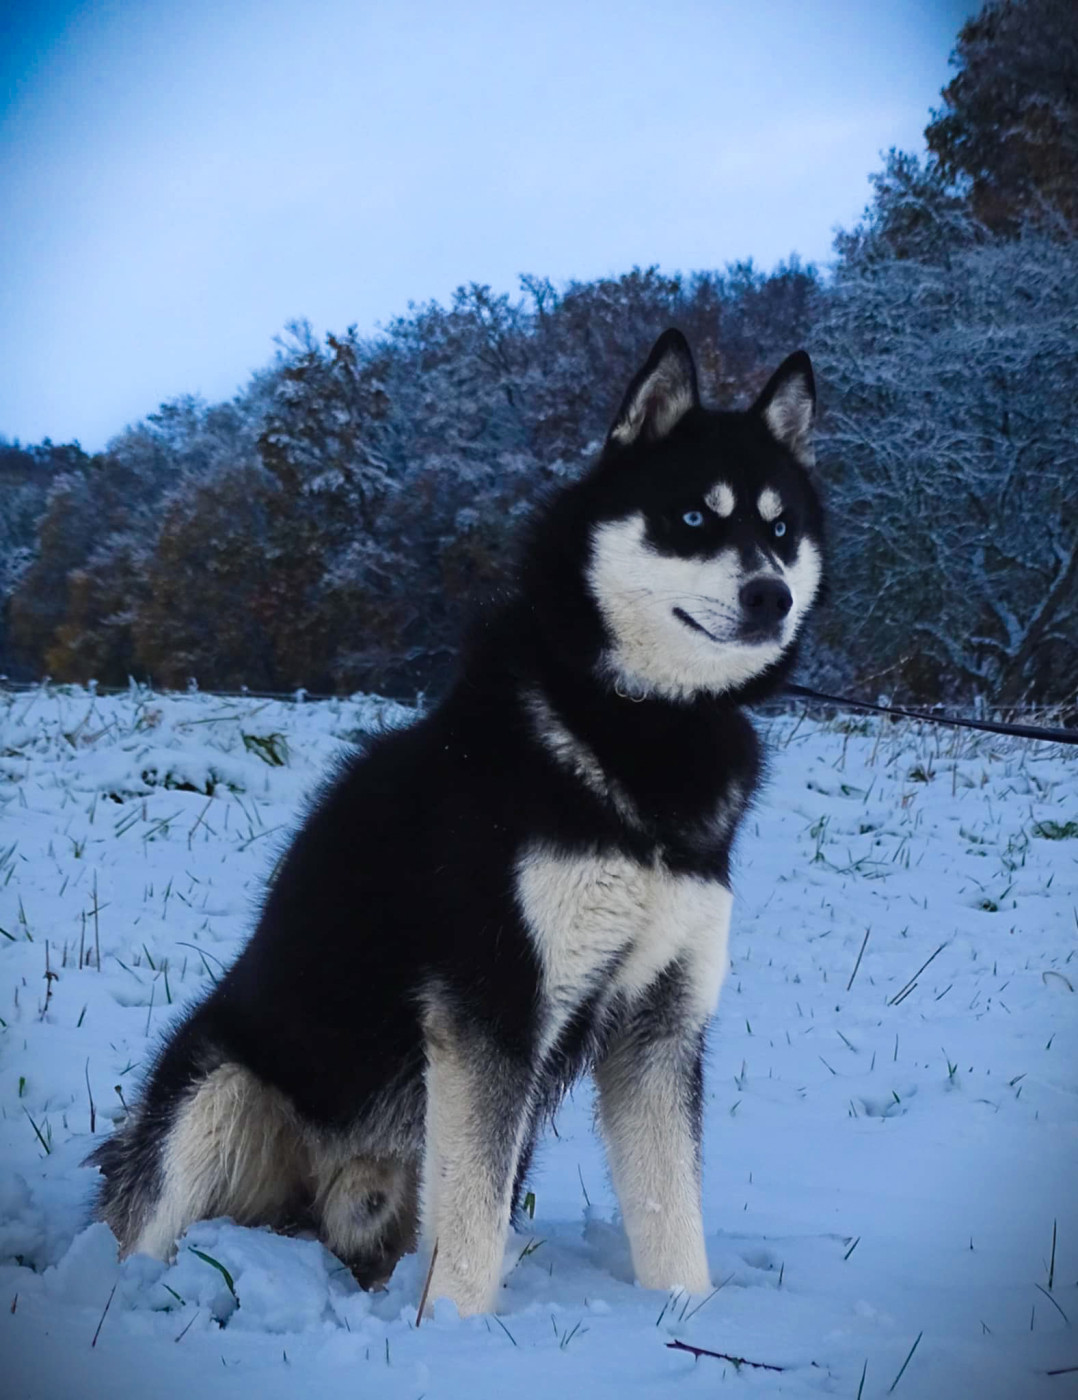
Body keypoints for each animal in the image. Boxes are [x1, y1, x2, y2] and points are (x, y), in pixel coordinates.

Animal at [90, 329, 824, 1317]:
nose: (769, 596)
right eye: (693, 519)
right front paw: (457, 1333)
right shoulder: (493, 1009)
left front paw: (684, 1316)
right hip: (215, 1091)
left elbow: (671, 1212)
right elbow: (470, 1232)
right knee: (146, 1230)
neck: (644, 726)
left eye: (780, 530)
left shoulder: (660, 1022)